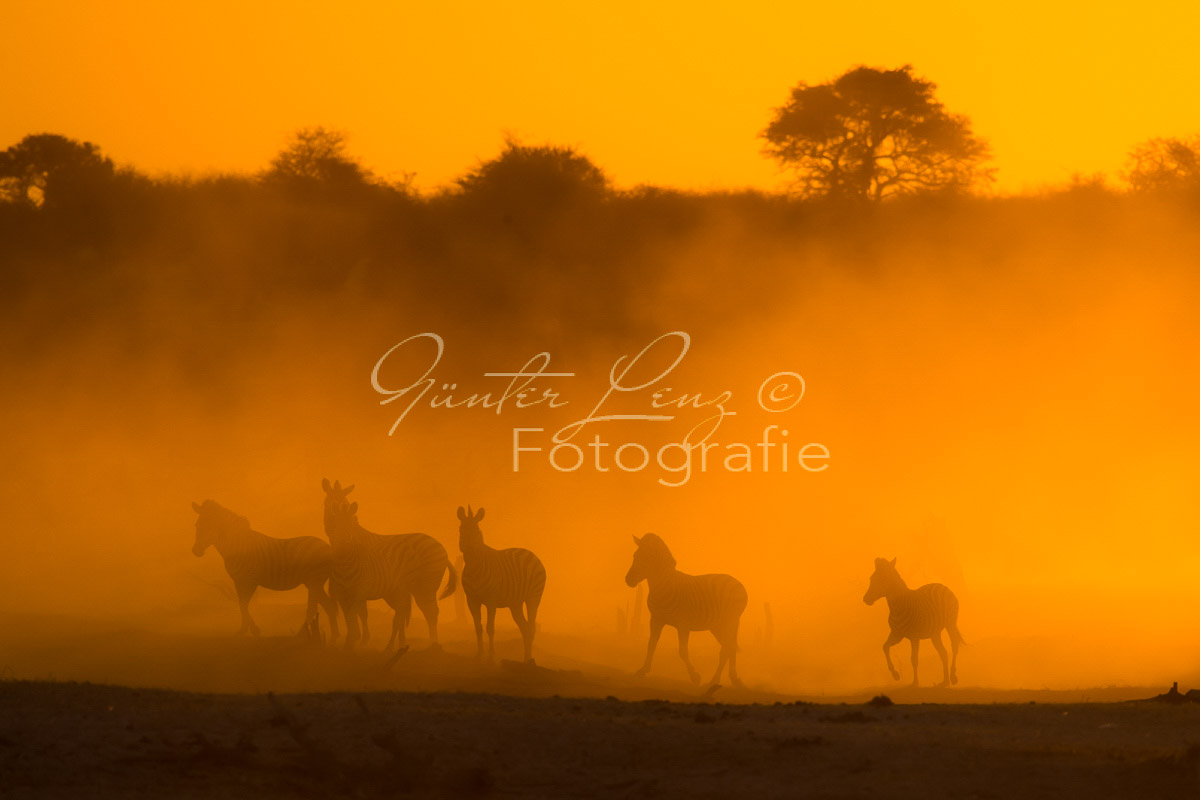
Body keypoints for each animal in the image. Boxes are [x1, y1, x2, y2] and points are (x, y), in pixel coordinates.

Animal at [189, 501, 338, 638]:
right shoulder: (238, 580)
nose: (196, 551)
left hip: (314, 580)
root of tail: (330, 549)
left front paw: (250, 630)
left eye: (208, 526)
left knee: (313, 608)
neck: (237, 545)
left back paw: (302, 634)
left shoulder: (250, 579)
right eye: (197, 526)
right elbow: (242, 604)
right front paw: (246, 630)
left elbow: (243, 604)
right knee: (329, 607)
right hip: (314, 583)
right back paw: (335, 637)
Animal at [321, 479, 456, 652]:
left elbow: (359, 613)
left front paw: (361, 640)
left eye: (345, 502)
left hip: (425, 586)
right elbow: (361, 614)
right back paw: (403, 643)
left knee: (431, 612)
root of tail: (441, 547)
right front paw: (362, 640)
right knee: (405, 612)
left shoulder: (362, 586)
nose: (335, 532)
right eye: (328, 504)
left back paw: (432, 644)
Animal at [456, 506, 547, 662]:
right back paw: (525, 658)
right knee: (525, 629)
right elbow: (478, 628)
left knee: (531, 627)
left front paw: (491, 656)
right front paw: (479, 654)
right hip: (515, 603)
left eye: (477, 530)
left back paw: (529, 659)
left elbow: (490, 628)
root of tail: (530, 552)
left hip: (533, 597)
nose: (469, 548)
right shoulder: (471, 600)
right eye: (461, 529)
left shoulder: (491, 600)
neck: (474, 568)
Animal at [624, 534, 744, 686]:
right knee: (730, 647)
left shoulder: (683, 625)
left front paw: (695, 676)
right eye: (635, 555)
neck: (665, 586)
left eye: (647, 557)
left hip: (730, 621)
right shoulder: (656, 619)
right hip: (718, 626)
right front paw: (642, 670)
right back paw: (732, 678)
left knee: (727, 648)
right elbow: (651, 645)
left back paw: (716, 680)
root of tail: (738, 583)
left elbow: (682, 652)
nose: (628, 580)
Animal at [864, 556, 964, 690]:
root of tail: (942, 585)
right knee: (943, 653)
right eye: (872, 578)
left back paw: (953, 677)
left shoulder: (914, 637)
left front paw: (915, 682)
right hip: (935, 633)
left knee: (954, 646)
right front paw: (895, 674)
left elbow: (914, 659)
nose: (865, 599)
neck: (899, 606)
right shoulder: (896, 634)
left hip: (950, 624)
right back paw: (944, 682)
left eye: (881, 579)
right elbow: (885, 647)